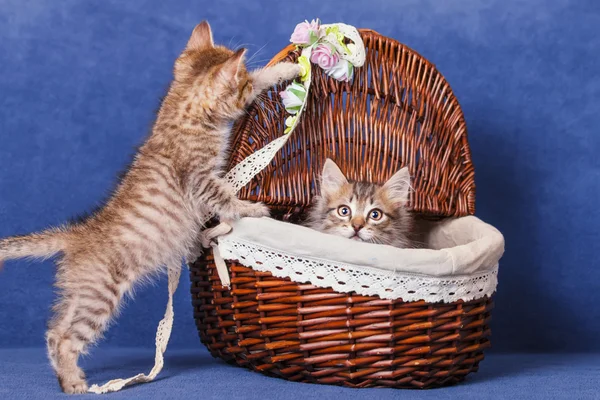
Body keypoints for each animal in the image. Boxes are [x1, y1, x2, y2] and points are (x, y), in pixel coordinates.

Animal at [0, 21, 300, 394]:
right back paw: (74, 383)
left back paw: (66, 377)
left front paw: (285, 69)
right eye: (240, 84)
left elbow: (264, 77)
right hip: (99, 296)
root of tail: (80, 233)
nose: (245, 85)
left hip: (77, 294)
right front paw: (252, 210)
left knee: (54, 333)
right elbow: (225, 199)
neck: (181, 108)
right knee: (68, 339)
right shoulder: (200, 180)